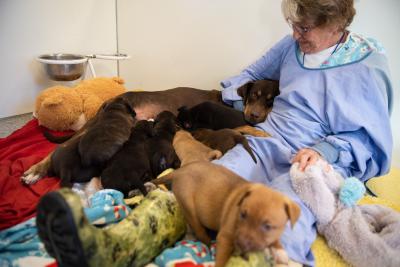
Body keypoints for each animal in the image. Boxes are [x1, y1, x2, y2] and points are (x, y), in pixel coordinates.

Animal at [156, 161, 300, 267]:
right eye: (242, 215)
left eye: (268, 227)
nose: (241, 243)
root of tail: (179, 171)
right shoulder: (225, 237)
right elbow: (221, 260)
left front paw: (279, 251)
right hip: (189, 209)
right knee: (200, 231)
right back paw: (208, 244)